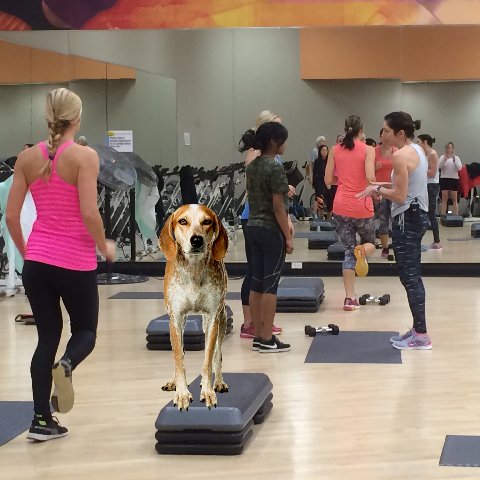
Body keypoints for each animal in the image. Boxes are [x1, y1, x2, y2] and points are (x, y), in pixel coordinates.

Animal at [159, 204, 229, 411]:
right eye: (183, 221)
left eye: (207, 221)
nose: (196, 240)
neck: (194, 271)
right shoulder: (176, 318)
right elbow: (178, 358)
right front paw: (181, 393)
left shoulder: (213, 317)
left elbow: (208, 360)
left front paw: (208, 392)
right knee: (180, 352)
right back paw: (173, 381)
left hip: (220, 320)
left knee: (217, 354)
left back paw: (218, 382)